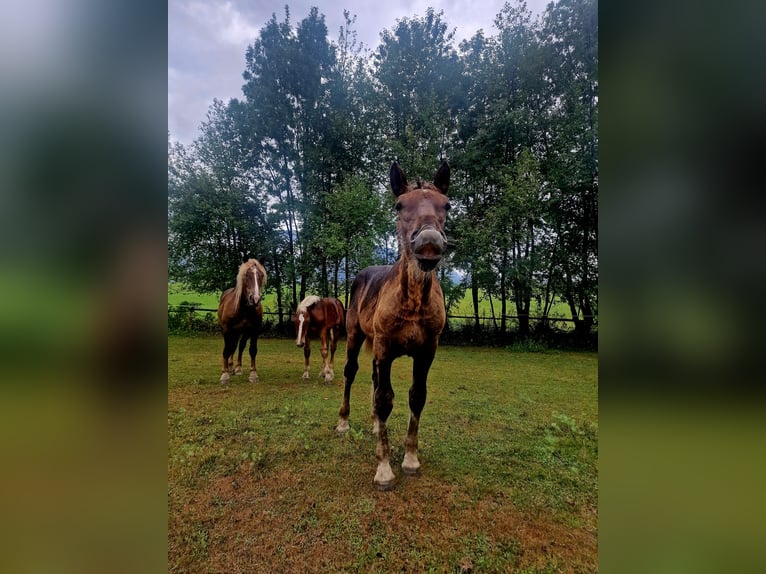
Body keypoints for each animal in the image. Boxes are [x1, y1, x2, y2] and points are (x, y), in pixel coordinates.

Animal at [336, 161, 450, 490]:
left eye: (447, 205)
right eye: (400, 205)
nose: (429, 244)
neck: (412, 302)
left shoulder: (426, 352)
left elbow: (416, 396)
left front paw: (410, 459)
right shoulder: (385, 349)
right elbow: (385, 399)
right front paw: (384, 469)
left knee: (375, 381)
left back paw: (376, 425)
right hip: (354, 337)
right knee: (351, 373)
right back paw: (343, 422)